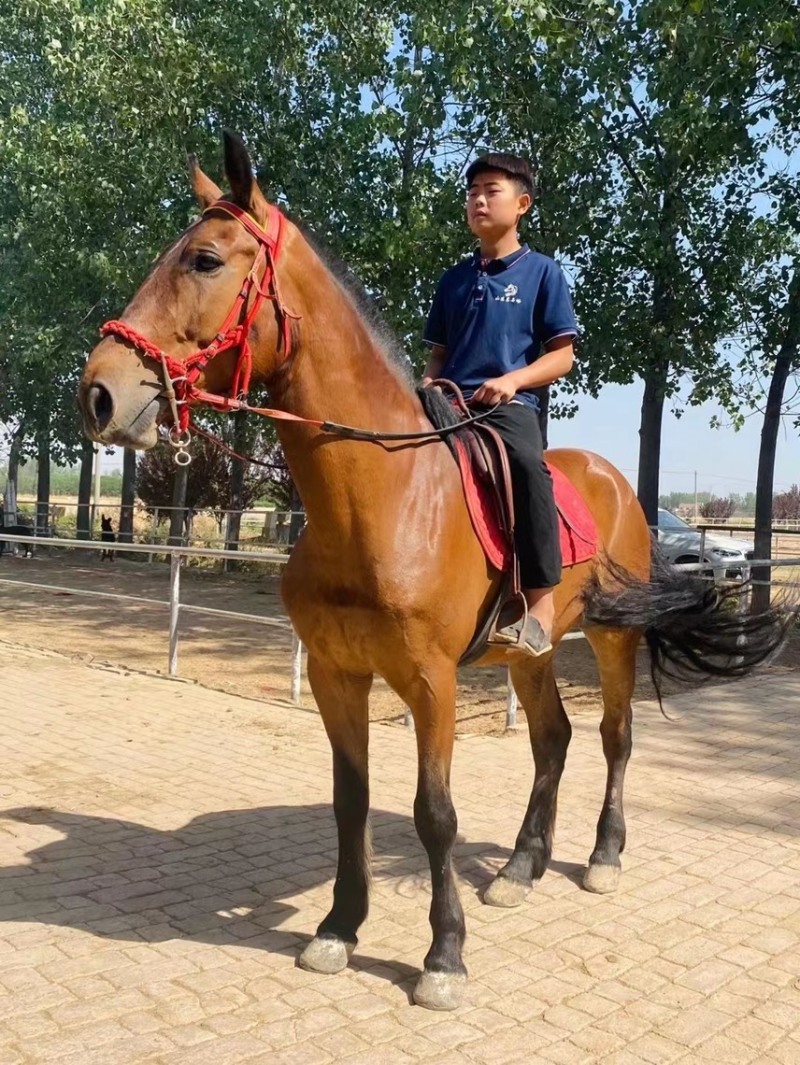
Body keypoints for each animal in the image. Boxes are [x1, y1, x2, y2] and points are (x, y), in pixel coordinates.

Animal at [77, 132, 789, 1011]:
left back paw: (601, 856)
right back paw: (520, 866)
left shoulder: (430, 680)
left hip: (610, 638)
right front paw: (339, 927)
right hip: (533, 650)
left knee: (614, 738)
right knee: (552, 739)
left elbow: (434, 813)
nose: (99, 394)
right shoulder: (337, 673)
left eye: (205, 259)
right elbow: (352, 801)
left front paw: (444, 956)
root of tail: (618, 483)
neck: (380, 500)